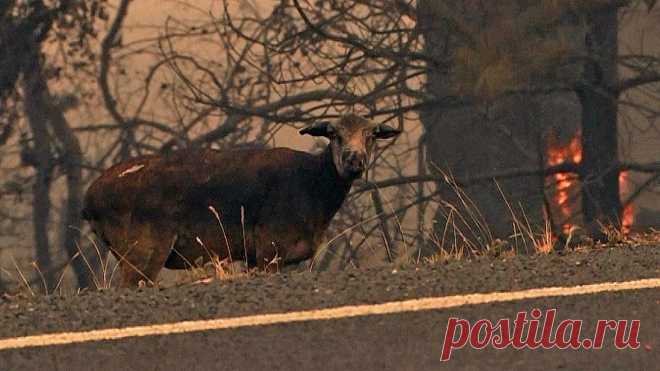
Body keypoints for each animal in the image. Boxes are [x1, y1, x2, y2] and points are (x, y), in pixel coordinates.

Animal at [82, 113, 402, 288]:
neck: (313, 192)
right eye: (334, 134)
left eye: (372, 134)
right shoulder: (270, 245)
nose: (354, 160)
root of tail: (89, 202)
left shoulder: (255, 254)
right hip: (143, 246)